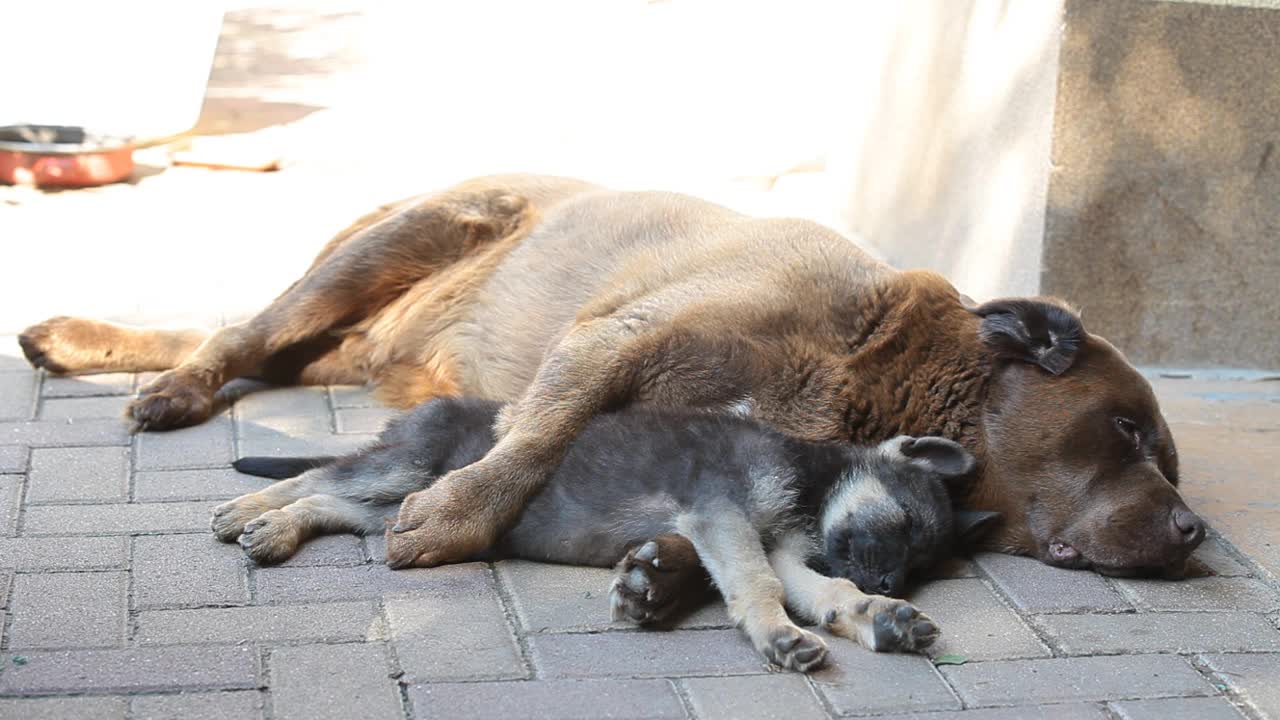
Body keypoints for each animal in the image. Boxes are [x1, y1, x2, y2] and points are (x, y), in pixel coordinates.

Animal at [17, 174, 1198, 589]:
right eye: (1127, 434)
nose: (1192, 532)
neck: (869, 364)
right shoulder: (612, 339)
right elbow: (539, 434)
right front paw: (452, 515)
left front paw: (662, 573)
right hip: (397, 242)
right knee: (246, 333)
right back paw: (167, 388)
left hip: (353, 342)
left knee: (249, 344)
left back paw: (80, 343)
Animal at [215, 394, 993, 671]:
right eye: (904, 523)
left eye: (922, 566)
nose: (888, 580)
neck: (809, 480)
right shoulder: (722, 515)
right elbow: (758, 586)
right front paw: (779, 635)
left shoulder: (779, 544)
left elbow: (820, 589)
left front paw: (876, 617)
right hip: (410, 467)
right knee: (320, 477)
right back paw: (247, 513)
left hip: (405, 507)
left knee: (336, 502)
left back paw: (274, 529)